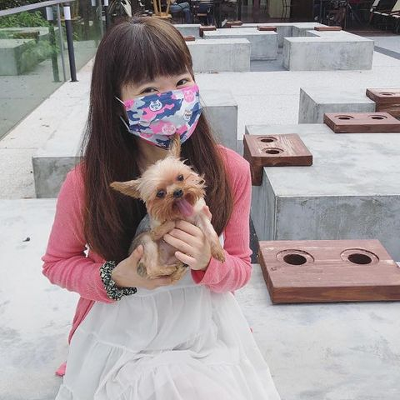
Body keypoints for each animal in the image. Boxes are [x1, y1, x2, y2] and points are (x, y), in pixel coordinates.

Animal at [110, 134, 225, 282]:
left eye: (180, 177)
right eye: (160, 193)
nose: (178, 192)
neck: (181, 212)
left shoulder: (201, 216)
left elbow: (210, 232)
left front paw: (218, 251)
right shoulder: (155, 228)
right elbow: (169, 223)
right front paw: (170, 222)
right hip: (146, 241)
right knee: (151, 270)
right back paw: (168, 269)